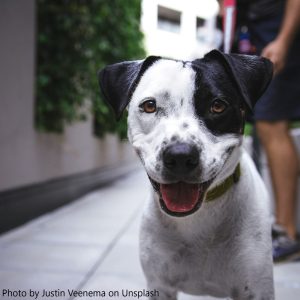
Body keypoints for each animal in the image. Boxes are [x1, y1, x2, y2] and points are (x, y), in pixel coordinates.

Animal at [98, 50, 274, 298]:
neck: (199, 218)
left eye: (218, 106)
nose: (180, 156)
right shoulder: (159, 286)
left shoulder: (256, 289)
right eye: (149, 106)